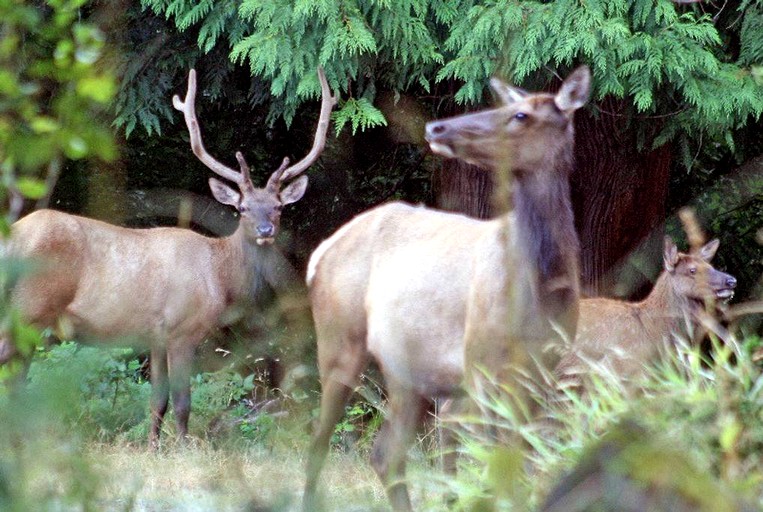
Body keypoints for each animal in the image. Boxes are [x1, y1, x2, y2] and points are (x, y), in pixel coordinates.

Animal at [0, 69, 336, 448]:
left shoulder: (155, 337)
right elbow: (182, 400)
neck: (218, 275)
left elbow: (157, 400)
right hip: (29, 307)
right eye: (242, 209)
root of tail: (12, 239)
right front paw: (184, 447)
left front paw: (152, 448)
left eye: (278, 207)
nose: (265, 229)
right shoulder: (181, 328)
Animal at [304, 68, 592, 512]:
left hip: (407, 372)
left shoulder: (543, 368)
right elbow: (495, 466)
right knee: (318, 445)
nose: (436, 127)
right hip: (339, 342)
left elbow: (519, 466)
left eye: (521, 114)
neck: (542, 287)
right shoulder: (481, 363)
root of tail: (318, 256)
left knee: (386, 454)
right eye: (508, 106)